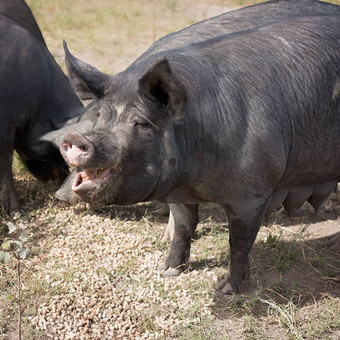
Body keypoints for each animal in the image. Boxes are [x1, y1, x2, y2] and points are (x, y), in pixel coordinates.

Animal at [57, 14, 340, 294]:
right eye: (100, 115)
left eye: (141, 123)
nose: (76, 139)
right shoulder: (180, 192)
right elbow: (184, 226)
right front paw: (167, 271)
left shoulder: (253, 193)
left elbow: (239, 241)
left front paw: (226, 289)